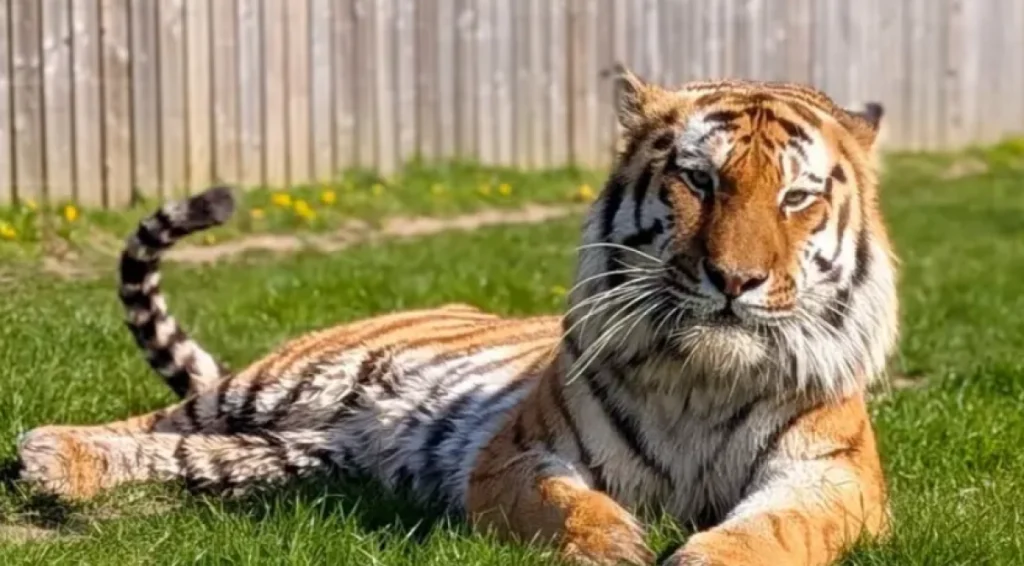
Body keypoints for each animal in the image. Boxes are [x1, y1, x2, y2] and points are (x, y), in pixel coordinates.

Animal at [16, 64, 898, 566]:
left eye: (796, 198)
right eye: (699, 180)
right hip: (286, 381)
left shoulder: (834, 476)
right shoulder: (518, 454)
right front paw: (612, 546)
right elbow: (568, 505)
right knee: (160, 419)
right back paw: (50, 454)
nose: (735, 279)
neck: (704, 378)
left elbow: (778, 529)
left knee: (191, 454)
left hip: (296, 455)